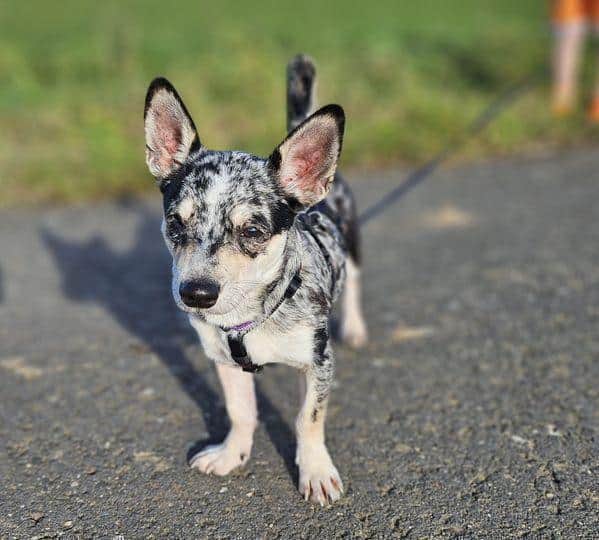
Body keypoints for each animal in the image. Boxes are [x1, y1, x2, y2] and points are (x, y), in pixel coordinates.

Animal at [144, 56, 368, 506]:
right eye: (176, 223)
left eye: (252, 231)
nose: (196, 293)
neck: (253, 316)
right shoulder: (224, 360)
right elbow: (241, 411)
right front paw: (232, 453)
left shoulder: (319, 362)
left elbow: (307, 419)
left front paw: (315, 471)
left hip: (352, 244)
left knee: (354, 281)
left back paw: (354, 326)